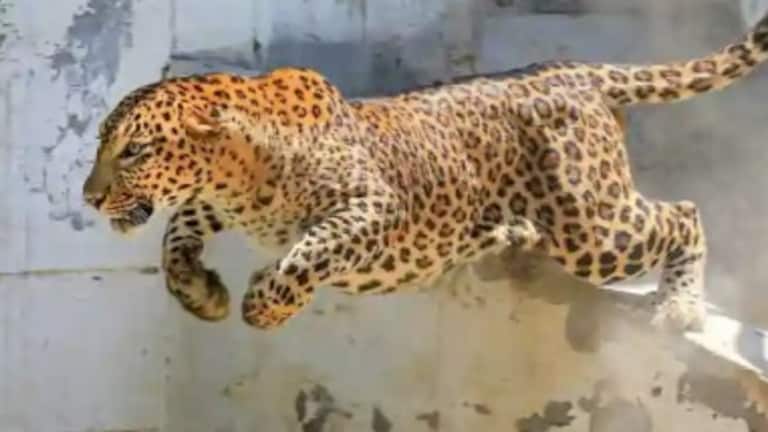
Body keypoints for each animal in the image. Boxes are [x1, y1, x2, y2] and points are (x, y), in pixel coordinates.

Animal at [82, 12, 768, 331]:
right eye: (101, 144)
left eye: (135, 151)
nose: (89, 198)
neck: (237, 172)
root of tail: (574, 70)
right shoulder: (215, 202)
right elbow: (176, 235)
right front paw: (201, 293)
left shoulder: (373, 206)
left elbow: (308, 254)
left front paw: (262, 304)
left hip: (592, 228)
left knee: (682, 214)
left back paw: (680, 306)